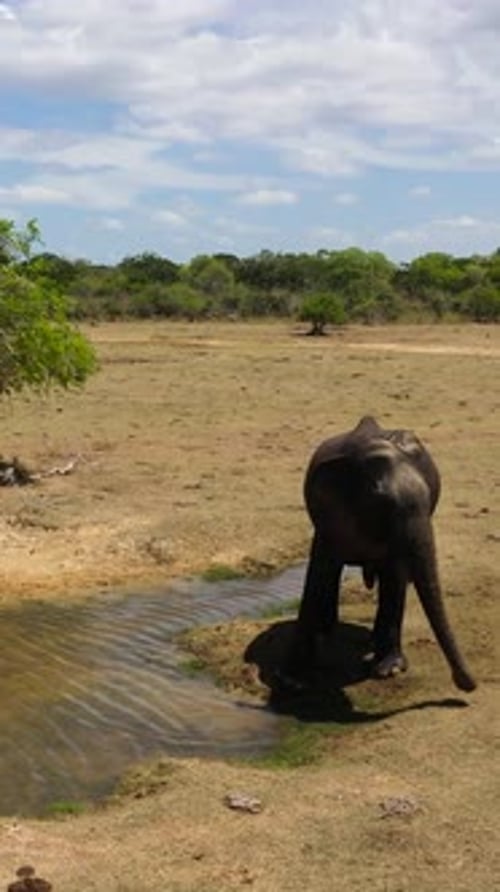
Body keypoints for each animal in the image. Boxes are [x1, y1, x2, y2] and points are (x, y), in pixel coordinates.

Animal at [287, 415, 476, 693]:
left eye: (430, 496)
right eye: (383, 504)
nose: (465, 683)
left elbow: (394, 577)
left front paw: (389, 670)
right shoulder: (328, 516)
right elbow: (319, 571)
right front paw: (295, 679)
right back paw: (327, 630)